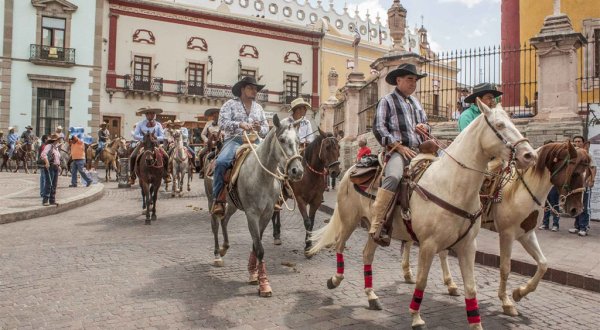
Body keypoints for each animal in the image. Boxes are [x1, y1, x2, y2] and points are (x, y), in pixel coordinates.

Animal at [204, 114, 304, 298]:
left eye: (299, 140)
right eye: (282, 139)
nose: (297, 171)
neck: (261, 175)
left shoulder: (266, 214)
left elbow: (256, 244)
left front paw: (253, 273)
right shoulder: (252, 214)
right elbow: (260, 248)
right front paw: (263, 283)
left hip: (232, 204)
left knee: (225, 220)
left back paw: (225, 248)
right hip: (211, 201)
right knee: (215, 224)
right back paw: (217, 255)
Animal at [308, 100, 536, 330]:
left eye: (513, 122)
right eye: (499, 125)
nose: (529, 155)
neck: (452, 185)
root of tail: (351, 170)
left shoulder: (467, 246)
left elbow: (471, 288)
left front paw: (477, 322)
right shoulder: (428, 245)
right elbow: (421, 281)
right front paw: (416, 316)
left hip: (374, 228)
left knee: (366, 254)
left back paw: (372, 296)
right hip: (349, 221)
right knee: (339, 246)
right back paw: (335, 279)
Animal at [398, 142, 592, 318]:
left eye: (589, 174)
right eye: (575, 173)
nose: (576, 209)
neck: (520, 189)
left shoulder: (527, 234)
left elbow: (543, 264)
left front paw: (519, 293)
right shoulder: (507, 234)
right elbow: (505, 268)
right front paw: (507, 302)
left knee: (440, 251)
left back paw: (449, 284)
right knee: (409, 242)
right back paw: (408, 273)